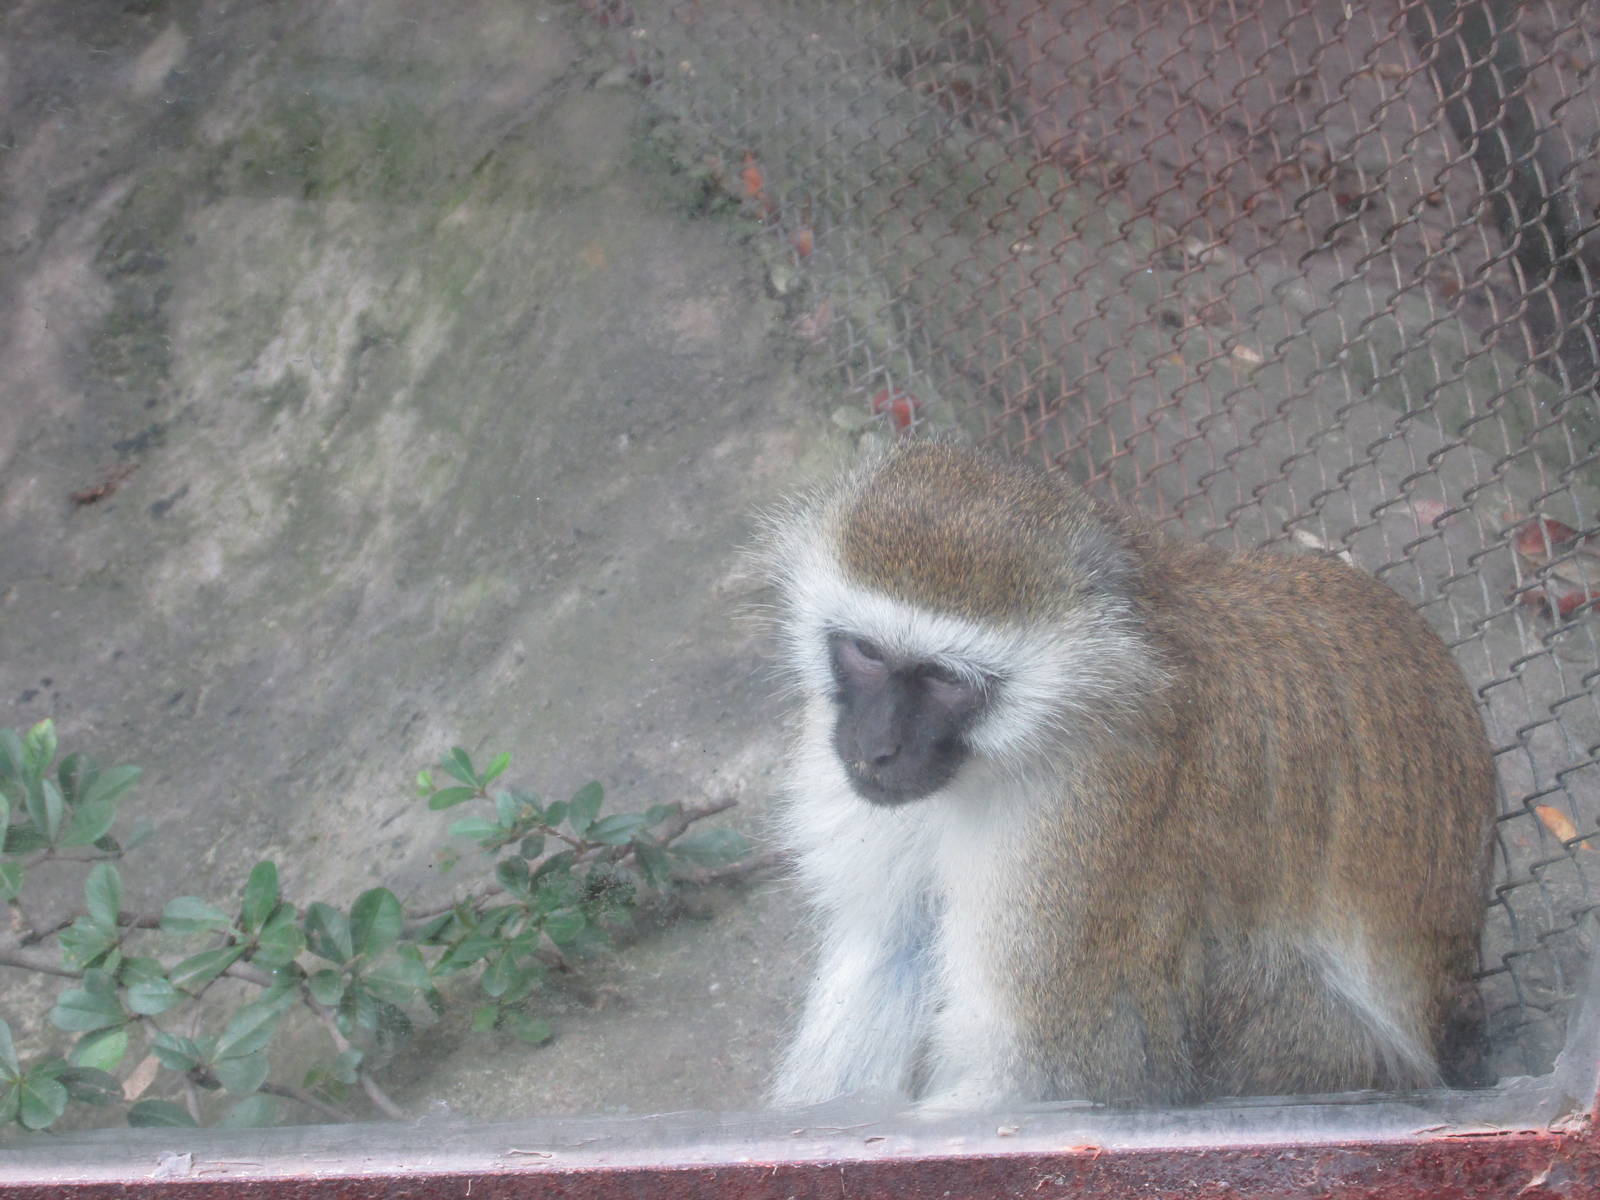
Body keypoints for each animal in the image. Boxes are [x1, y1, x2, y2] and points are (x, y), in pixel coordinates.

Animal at [760, 440, 1496, 1111]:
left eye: (945, 681)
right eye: (865, 652)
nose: (877, 746)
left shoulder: (1096, 816)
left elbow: (1062, 1073)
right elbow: (891, 945)